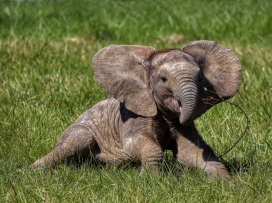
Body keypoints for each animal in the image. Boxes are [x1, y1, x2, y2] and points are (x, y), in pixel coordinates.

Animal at [30, 40, 241, 179]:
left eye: (200, 79)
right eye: (163, 79)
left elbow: (191, 152)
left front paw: (225, 181)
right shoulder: (133, 116)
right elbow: (136, 145)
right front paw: (150, 180)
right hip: (77, 131)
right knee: (75, 142)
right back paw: (33, 171)